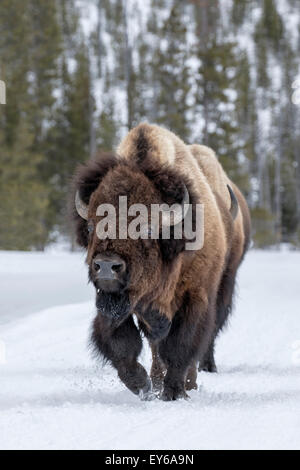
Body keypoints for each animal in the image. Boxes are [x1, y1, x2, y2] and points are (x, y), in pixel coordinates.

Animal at [71, 124, 251, 400]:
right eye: (91, 227)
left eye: (146, 228)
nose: (106, 266)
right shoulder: (117, 303)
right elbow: (122, 345)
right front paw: (143, 386)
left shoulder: (195, 298)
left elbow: (181, 347)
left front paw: (175, 392)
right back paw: (157, 382)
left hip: (223, 287)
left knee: (203, 338)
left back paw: (193, 380)